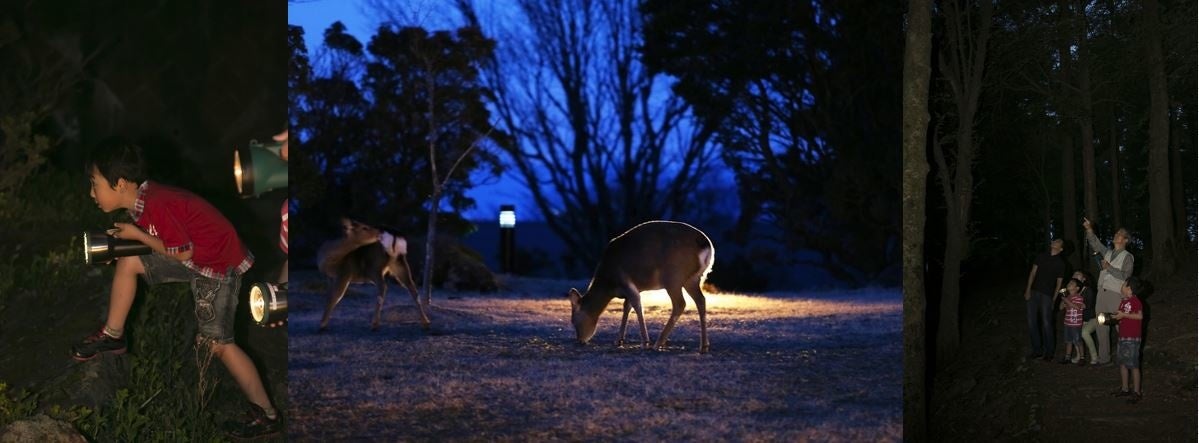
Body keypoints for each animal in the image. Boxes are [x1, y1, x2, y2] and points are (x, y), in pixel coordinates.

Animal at [567, 220, 715, 354]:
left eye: (573, 321)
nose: (580, 340)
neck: (609, 284)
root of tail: (706, 245)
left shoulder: (626, 282)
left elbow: (637, 306)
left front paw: (645, 342)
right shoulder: (632, 289)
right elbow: (626, 307)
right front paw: (619, 340)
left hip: (673, 277)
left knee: (680, 303)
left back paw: (657, 343)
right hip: (693, 279)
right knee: (701, 300)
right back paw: (704, 346)